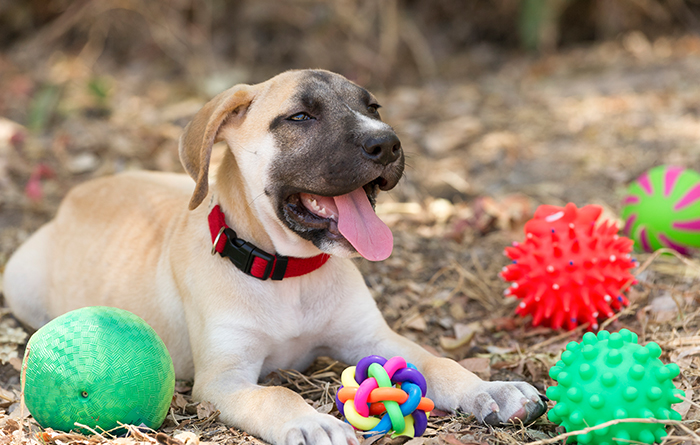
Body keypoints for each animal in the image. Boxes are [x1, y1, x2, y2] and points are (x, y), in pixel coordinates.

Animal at [4, 69, 548, 444]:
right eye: (300, 117)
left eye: (373, 106)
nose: (388, 143)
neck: (290, 273)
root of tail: (79, 193)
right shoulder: (223, 381)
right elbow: (276, 394)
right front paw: (311, 422)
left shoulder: (374, 338)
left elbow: (439, 362)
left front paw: (493, 389)